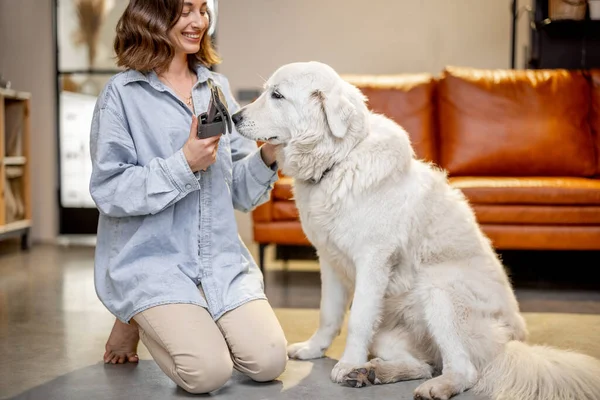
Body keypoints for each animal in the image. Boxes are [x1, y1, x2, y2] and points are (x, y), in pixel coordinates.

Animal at [232, 60, 600, 400]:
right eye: (266, 92)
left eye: (277, 95)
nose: (233, 117)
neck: (339, 161)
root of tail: (510, 344)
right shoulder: (330, 260)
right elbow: (328, 314)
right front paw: (314, 349)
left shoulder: (372, 262)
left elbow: (357, 319)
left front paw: (347, 362)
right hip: (389, 335)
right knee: (423, 365)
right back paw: (372, 373)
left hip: (440, 290)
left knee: (463, 371)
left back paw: (427, 386)